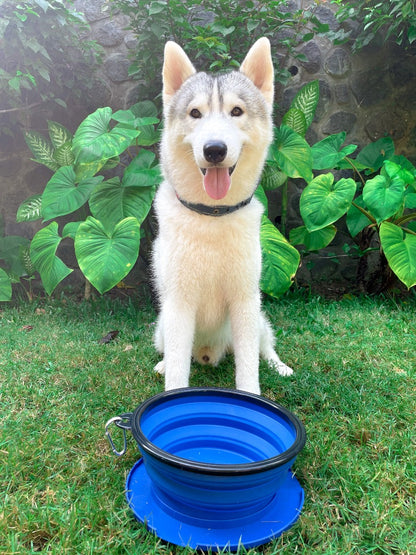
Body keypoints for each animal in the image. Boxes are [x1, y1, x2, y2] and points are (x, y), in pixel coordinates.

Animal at [150, 38, 292, 396]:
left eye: (236, 111)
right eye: (195, 113)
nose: (215, 149)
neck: (212, 215)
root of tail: (209, 352)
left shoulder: (245, 301)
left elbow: (249, 368)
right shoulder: (179, 305)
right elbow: (177, 369)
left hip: (258, 318)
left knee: (265, 347)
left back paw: (279, 366)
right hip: (161, 325)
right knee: (169, 351)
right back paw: (162, 363)